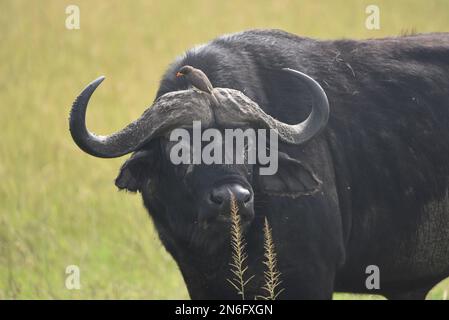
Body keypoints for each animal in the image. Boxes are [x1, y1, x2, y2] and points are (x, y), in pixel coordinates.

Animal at [69, 30, 448, 300]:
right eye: (179, 147)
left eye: (250, 146)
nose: (232, 199)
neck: (221, 247)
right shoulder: (198, 279)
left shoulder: (311, 277)